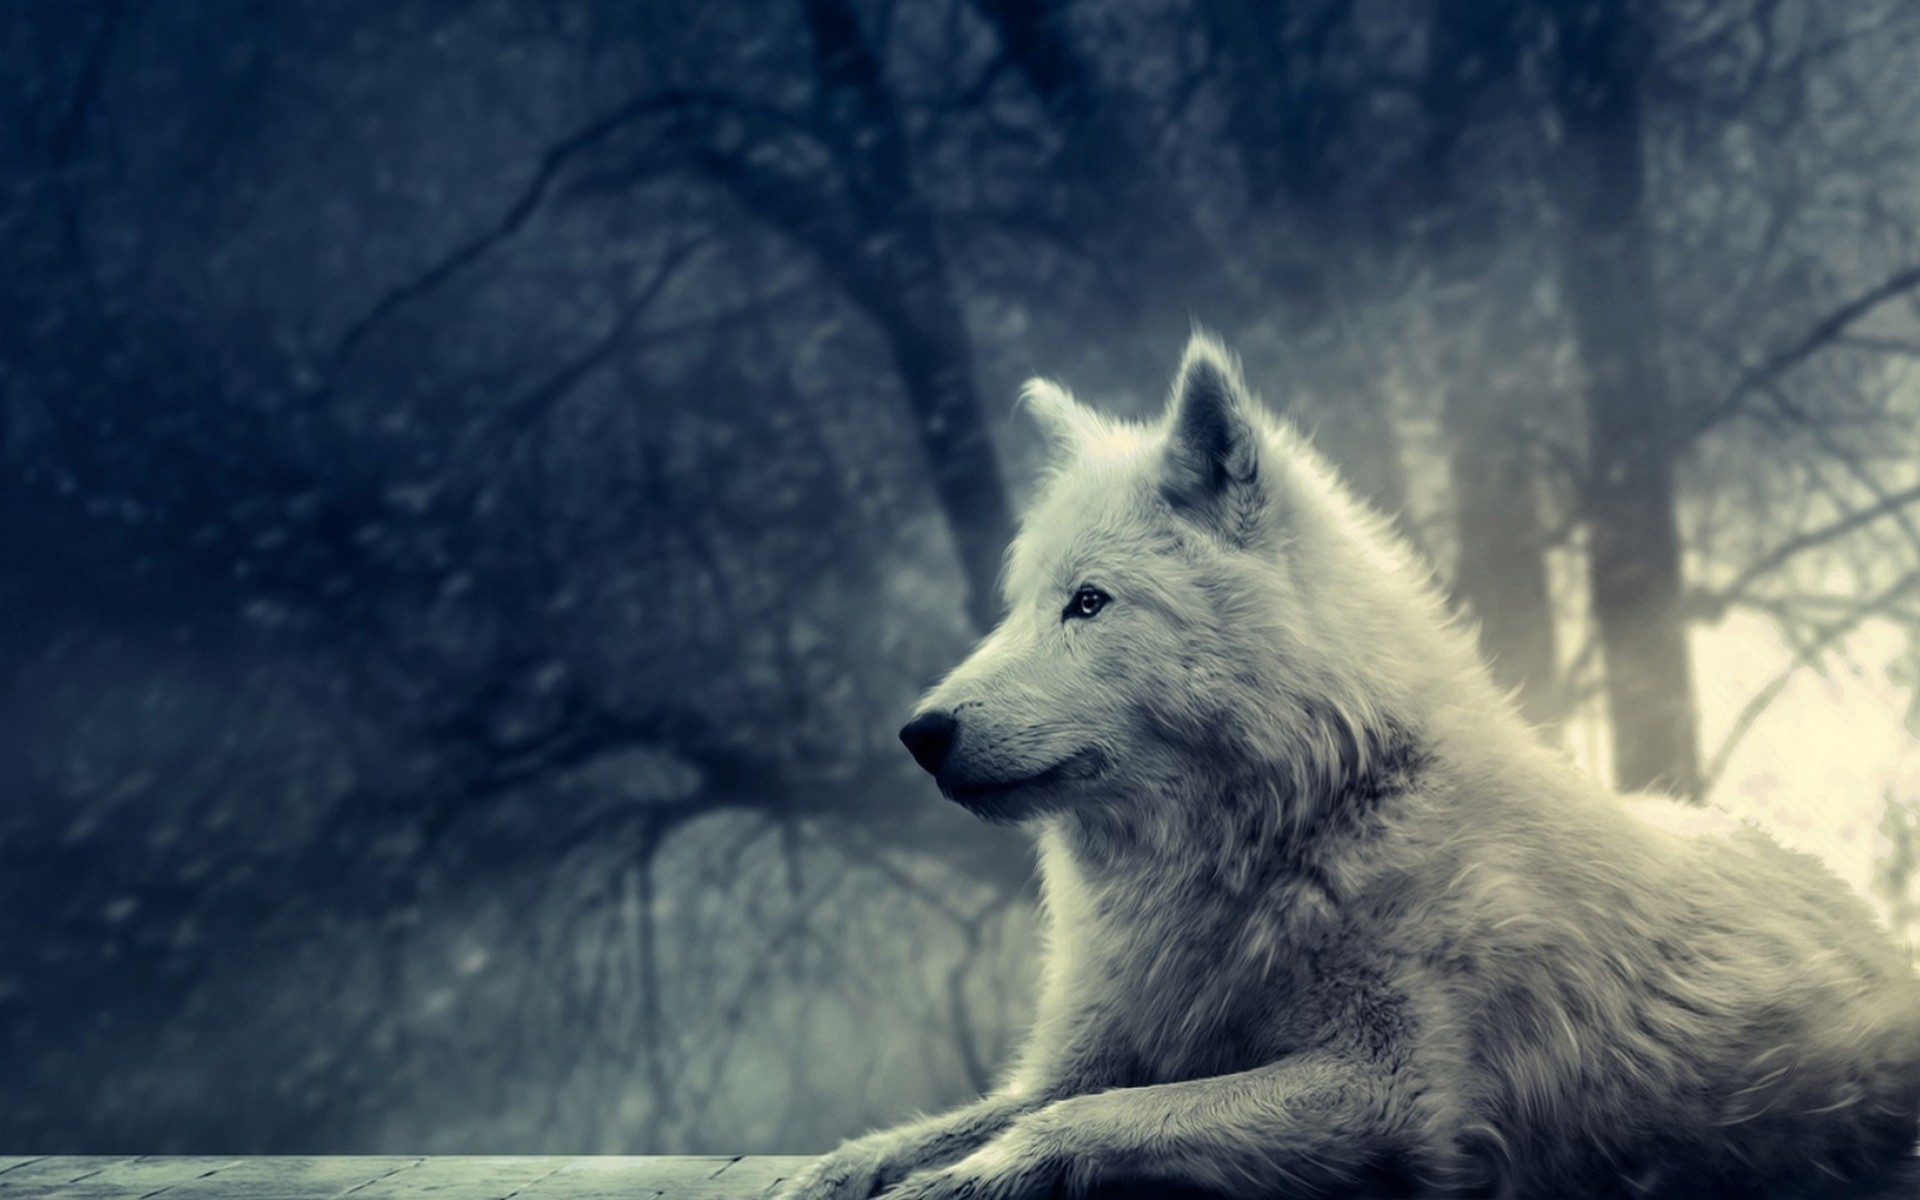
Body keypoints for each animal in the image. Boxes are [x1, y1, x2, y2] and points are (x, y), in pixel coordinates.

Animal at [779, 335, 1920, 1199]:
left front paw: (964, 1179)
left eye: (1089, 602)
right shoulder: (1079, 1056)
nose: (919, 732)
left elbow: (1091, 1120)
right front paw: (837, 1171)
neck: (1306, 822)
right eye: (1018, 605)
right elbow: (954, 1123)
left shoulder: (1390, 1092)